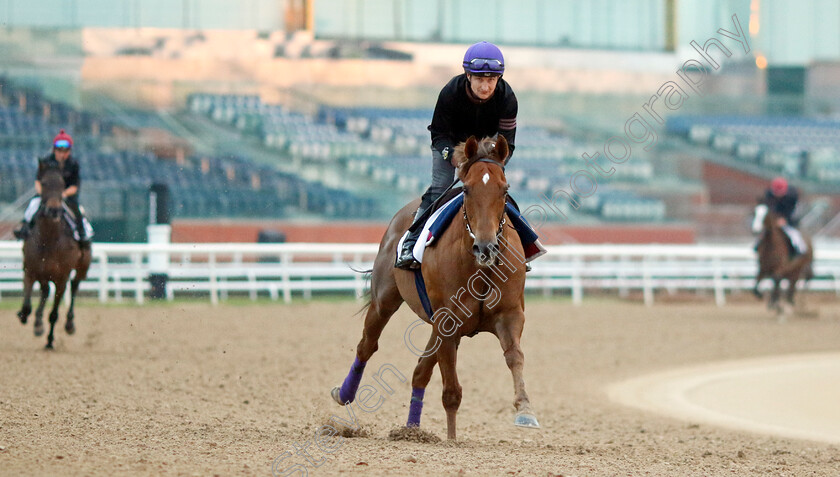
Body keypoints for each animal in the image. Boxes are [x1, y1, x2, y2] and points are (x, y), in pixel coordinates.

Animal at [17, 165, 92, 348]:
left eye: (63, 184)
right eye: (43, 183)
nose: (53, 210)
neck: (48, 240)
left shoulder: (61, 279)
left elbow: (54, 314)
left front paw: (50, 341)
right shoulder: (30, 270)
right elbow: (27, 305)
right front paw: (25, 316)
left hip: (81, 268)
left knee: (74, 286)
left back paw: (69, 324)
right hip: (43, 272)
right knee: (45, 290)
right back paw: (37, 323)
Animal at [330, 134, 540, 438]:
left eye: (504, 189)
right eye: (466, 190)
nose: (486, 247)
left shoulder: (510, 315)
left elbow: (514, 356)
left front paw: (525, 411)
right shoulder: (447, 321)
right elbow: (451, 389)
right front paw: (451, 440)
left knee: (420, 370)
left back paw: (411, 429)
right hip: (385, 300)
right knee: (367, 345)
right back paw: (345, 393)